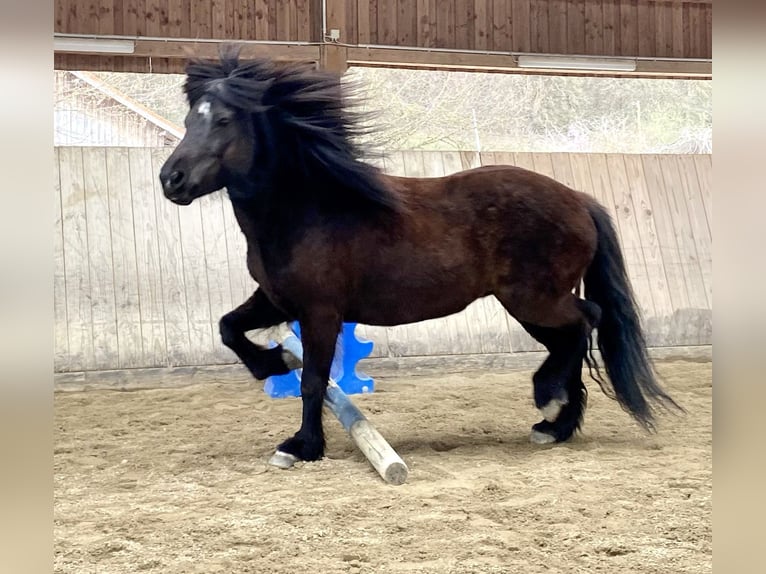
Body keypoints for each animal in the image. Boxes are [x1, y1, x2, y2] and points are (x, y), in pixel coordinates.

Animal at [159, 46, 680, 464]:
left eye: (223, 120)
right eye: (188, 120)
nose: (171, 180)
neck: (307, 209)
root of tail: (578, 199)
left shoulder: (321, 312)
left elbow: (313, 381)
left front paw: (302, 446)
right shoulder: (275, 300)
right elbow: (229, 328)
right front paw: (272, 363)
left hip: (535, 300)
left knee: (586, 320)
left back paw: (548, 402)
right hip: (530, 306)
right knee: (571, 336)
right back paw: (554, 426)